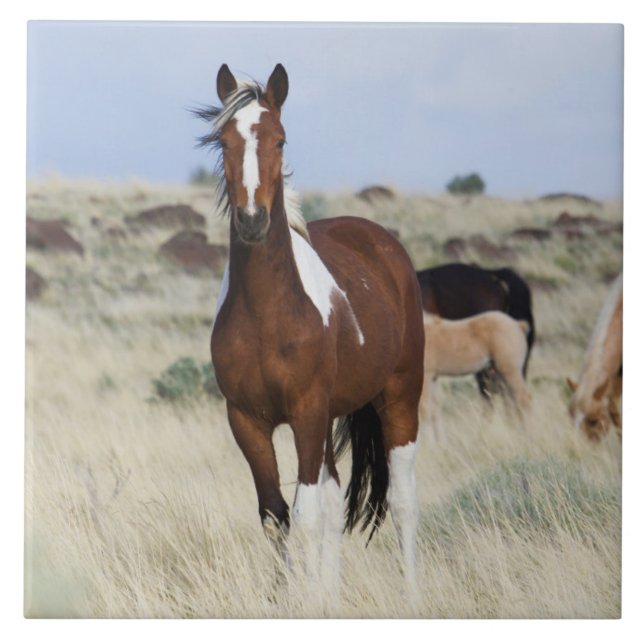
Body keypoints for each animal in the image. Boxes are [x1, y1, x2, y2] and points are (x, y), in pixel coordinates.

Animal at [196, 64, 425, 593]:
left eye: (280, 140)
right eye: (224, 141)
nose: (253, 221)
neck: (269, 313)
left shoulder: (305, 413)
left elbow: (303, 517)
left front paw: (305, 598)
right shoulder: (248, 421)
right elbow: (275, 516)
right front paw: (293, 596)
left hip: (399, 399)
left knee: (402, 502)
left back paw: (411, 594)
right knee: (335, 503)